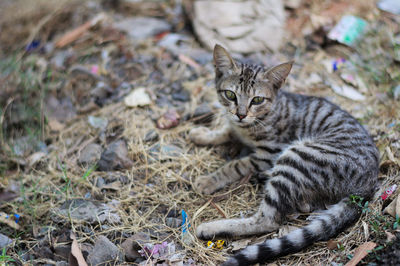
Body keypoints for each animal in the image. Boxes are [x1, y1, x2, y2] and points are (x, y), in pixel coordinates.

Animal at [189, 44, 380, 264]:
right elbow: (226, 130)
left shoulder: (267, 155)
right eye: (230, 95)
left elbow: (234, 165)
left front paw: (209, 180)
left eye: (257, 100)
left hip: (296, 158)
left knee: (268, 220)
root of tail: (368, 184)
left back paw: (211, 227)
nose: (241, 114)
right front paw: (203, 135)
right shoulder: (238, 128)